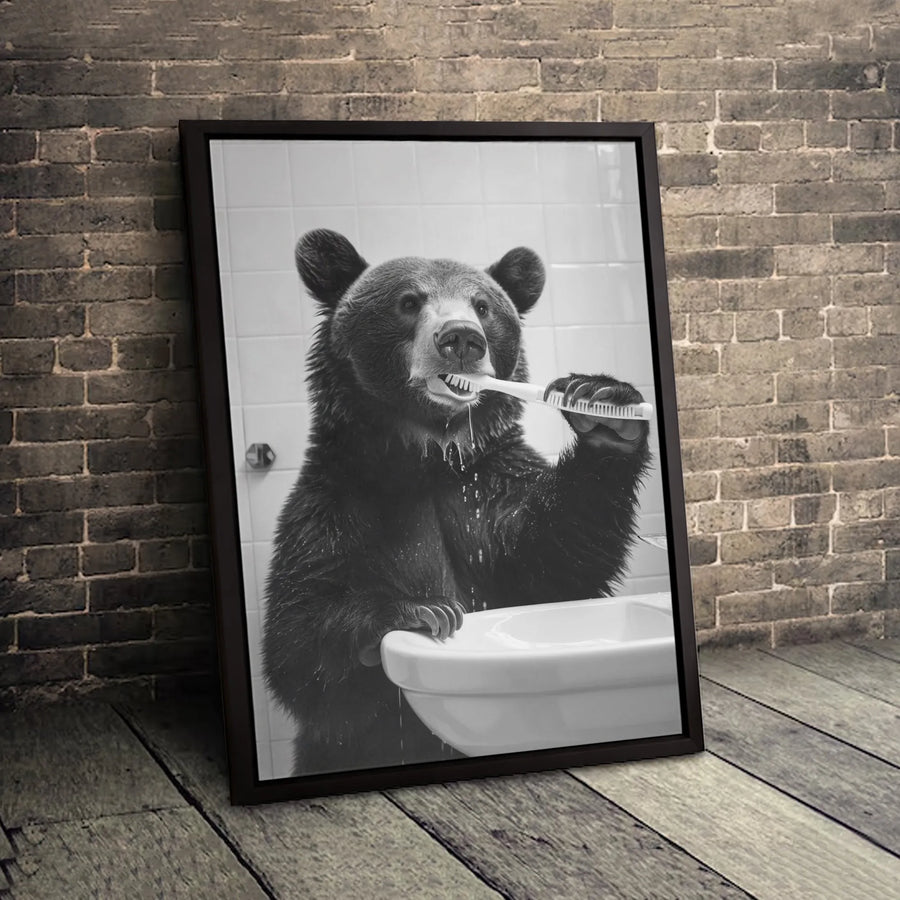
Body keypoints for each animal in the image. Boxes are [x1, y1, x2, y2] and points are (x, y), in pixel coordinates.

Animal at [262, 228, 651, 777]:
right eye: (409, 301)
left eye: (483, 305)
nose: (462, 338)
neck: (428, 458)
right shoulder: (337, 506)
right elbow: (297, 640)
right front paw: (421, 611)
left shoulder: (487, 491)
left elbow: (556, 559)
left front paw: (604, 407)